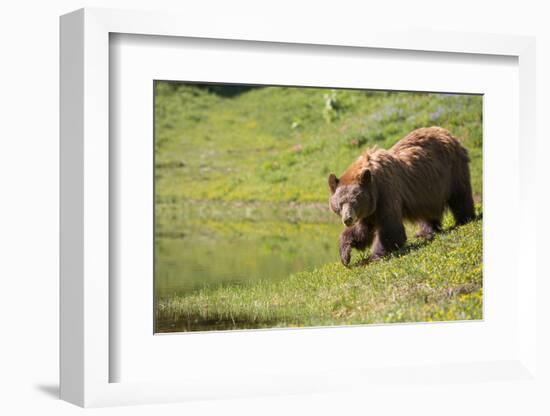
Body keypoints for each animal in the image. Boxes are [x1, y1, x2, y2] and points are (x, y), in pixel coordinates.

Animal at [330, 125, 476, 266]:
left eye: (354, 201)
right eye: (340, 203)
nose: (347, 219)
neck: (374, 185)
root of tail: (446, 132)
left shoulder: (387, 192)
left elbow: (390, 228)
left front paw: (375, 256)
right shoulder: (370, 209)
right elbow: (363, 230)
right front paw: (345, 254)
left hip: (452, 170)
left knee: (460, 196)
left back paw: (464, 219)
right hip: (428, 189)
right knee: (428, 210)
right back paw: (425, 232)